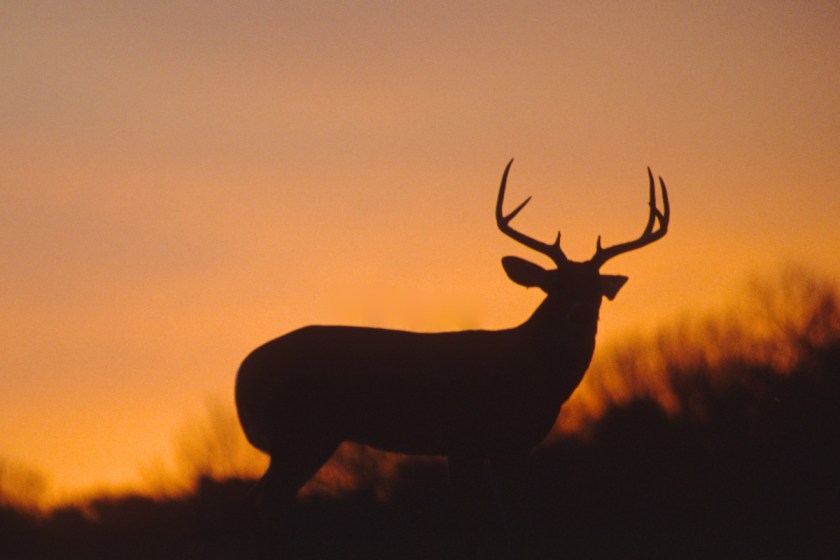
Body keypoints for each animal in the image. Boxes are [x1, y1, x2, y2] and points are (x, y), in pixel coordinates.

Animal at [235, 160, 668, 556]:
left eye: (596, 289)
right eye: (554, 285)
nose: (579, 313)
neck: (526, 370)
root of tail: (242, 372)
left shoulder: (512, 445)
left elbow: (514, 522)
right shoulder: (465, 437)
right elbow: (474, 525)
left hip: (305, 438)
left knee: (261, 505)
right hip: (301, 432)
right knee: (262, 504)